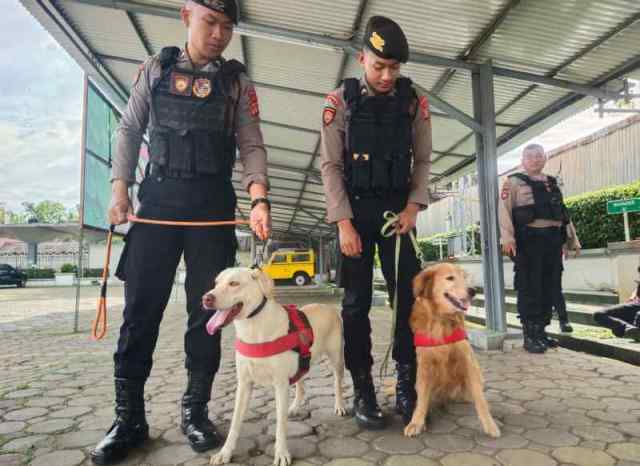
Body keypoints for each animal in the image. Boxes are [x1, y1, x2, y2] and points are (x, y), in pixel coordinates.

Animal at [204, 266, 344, 466]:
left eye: (234, 283)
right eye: (216, 283)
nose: (206, 298)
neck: (253, 328)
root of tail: (327, 307)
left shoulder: (281, 385)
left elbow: (281, 424)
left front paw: (281, 453)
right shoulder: (244, 383)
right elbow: (235, 423)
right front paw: (225, 453)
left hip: (336, 358)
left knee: (337, 383)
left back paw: (339, 406)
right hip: (301, 362)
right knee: (301, 383)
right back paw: (295, 407)